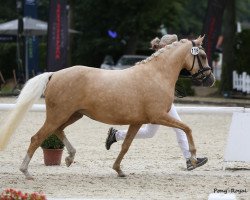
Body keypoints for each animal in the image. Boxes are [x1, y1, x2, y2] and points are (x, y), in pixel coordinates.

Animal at [0, 35, 215, 179]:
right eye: (203, 55)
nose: (211, 79)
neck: (156, 74)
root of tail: (54, 74)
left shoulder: (137, 122)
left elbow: (126, 145)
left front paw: (119, 169)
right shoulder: (159, 116)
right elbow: (187, 128)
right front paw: (194, 159)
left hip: (73, 115)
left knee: (58, 131)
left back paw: (70, 158)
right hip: (59, 115)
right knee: (37, 138)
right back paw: (26, 172)